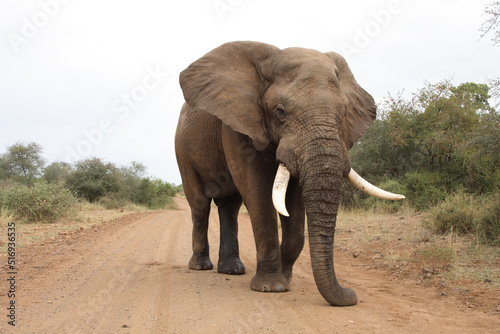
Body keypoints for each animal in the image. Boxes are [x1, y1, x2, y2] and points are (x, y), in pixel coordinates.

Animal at [174, 41, 404, 306]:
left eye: (345, 113)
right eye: (280, 111)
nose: (352, 295)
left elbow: (293, 202)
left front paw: (285, 279)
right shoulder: (237, 125)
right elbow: (258, 192)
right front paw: (271, 287)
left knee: (230, 207)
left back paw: (232, 270)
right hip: (182, 147)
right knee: (200, 204)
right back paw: (201, 266)